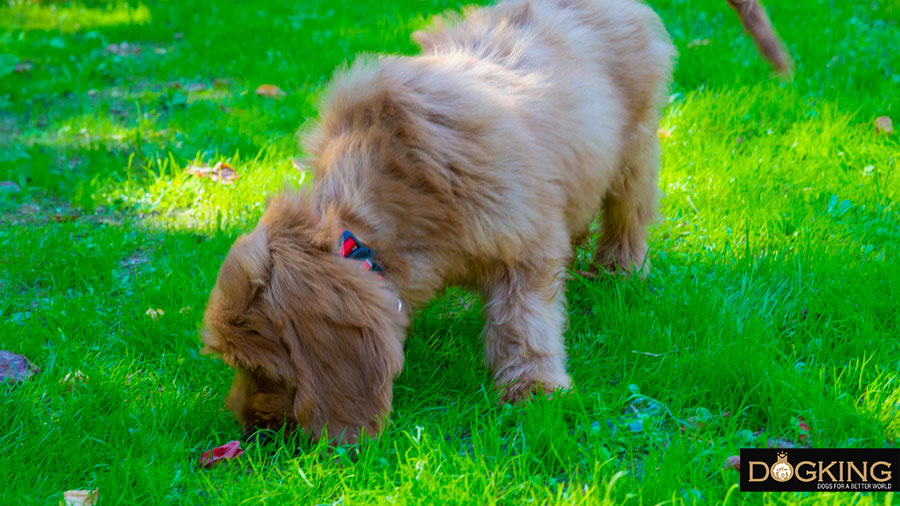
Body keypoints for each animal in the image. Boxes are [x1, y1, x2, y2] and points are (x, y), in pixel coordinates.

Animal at [200, 0, 672, 442]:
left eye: (259, 368)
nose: (248, 428)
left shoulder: (523, 241)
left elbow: (524, 321)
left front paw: (533, 387)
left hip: (634, 152)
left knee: (628, 216)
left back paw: (620, 270)